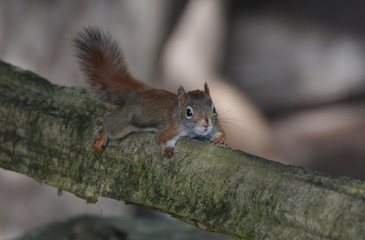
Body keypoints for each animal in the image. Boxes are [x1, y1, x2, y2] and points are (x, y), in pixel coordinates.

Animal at [73, 26, 226, 158]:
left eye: (214, 109)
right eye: (188, 112)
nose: (206, 124)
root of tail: (142, 92)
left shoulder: (213, 127)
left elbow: (219, 132)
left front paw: (221, 139)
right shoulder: (170, 130)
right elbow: (159, 138)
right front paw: (165, 150)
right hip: (125, 121)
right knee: (110, 123)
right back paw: (103, 136)